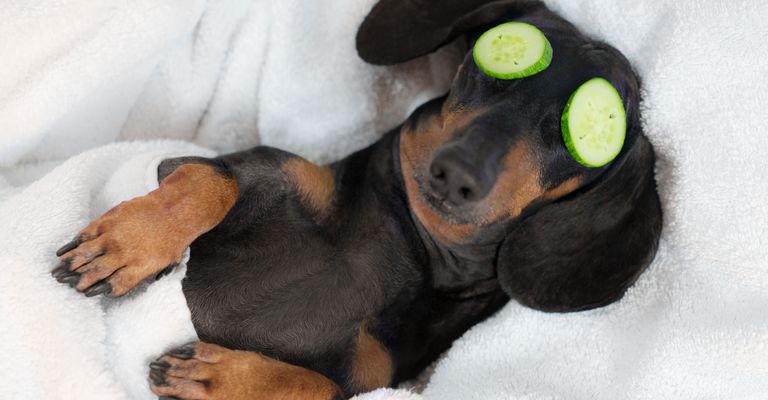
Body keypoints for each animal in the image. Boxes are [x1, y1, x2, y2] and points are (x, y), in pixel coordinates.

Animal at [51, 1, 660, 398]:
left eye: (583, 131)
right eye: (494, 60)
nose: (456, 173)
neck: (413, 248)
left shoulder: (371, 381)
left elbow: (316, 386)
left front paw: (219, 377)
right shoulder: (226, 165)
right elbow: (210, 183)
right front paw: (126, 245)